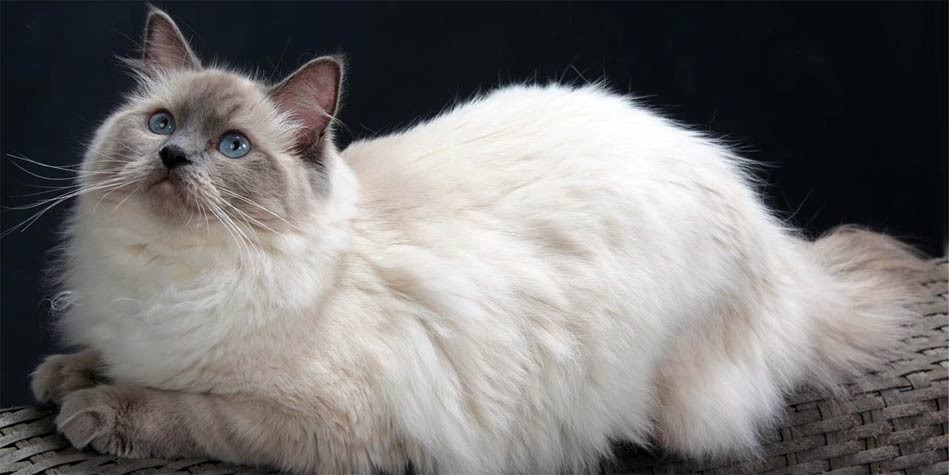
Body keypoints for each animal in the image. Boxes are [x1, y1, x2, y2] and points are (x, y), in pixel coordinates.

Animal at [29, 5, 924, 474]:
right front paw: (62, 374)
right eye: (160, 125)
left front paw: (93, 410)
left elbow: (182, 409)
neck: (170, 274)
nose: (173, 158)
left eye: (233, 147)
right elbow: (107, 359)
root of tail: (778, 243)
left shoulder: (324, 425)